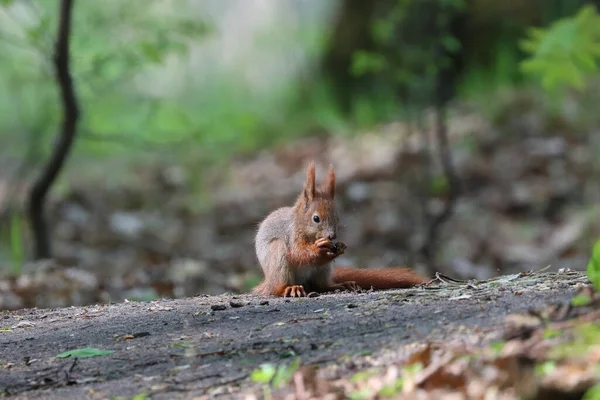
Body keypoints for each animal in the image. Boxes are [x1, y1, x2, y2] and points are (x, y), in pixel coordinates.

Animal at [253, 162, 426, 296]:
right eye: (316, 218)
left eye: (337, 217)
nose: (332, 236)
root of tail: (268, 281)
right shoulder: (291, 234)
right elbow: (297, 253)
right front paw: (317, 249)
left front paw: (341, 247)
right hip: (277, 256)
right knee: (277, 287)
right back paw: (289, 289)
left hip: (322, 270)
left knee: (321, 286)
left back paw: (340, 285)